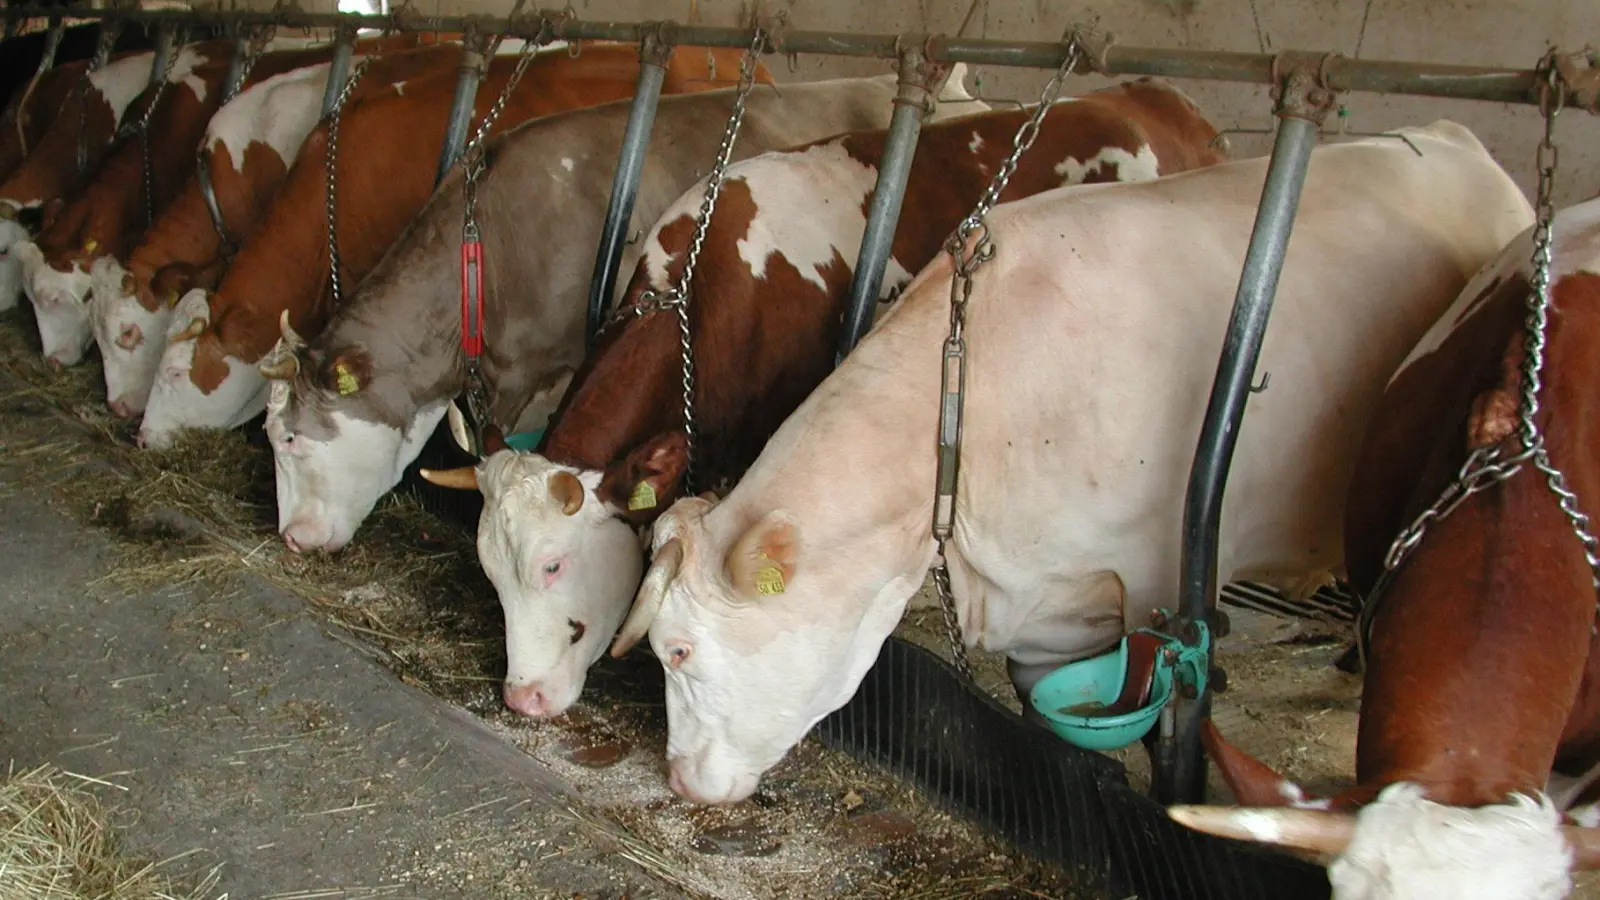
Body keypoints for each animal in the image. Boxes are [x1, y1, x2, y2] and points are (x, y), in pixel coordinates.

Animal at [594, 120, 1535, 807]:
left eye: (678, 651)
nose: (679, 777)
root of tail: (1456, 134)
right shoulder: (1050, 617)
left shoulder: (1158, 592)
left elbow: (1166, 741)